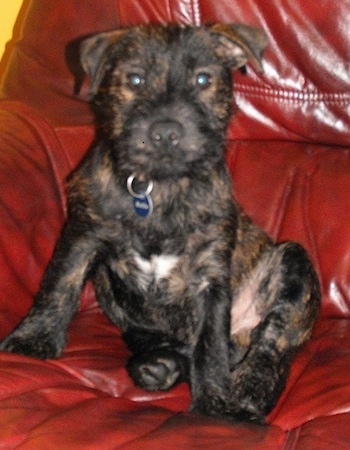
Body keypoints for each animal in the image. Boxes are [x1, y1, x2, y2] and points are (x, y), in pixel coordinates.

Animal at [0, 24, 320, 424]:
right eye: (135, 79)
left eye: (203, 79)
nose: (166, 131)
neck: (161, 186)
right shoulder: (83, 235)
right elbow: (59, 285)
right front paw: (33, 340)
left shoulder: (210, 275)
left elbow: (210, 345)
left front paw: (213, 404)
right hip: (111, 292)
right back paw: (159, 366)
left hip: (293, 265)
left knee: (271, 345)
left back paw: (246, 395)